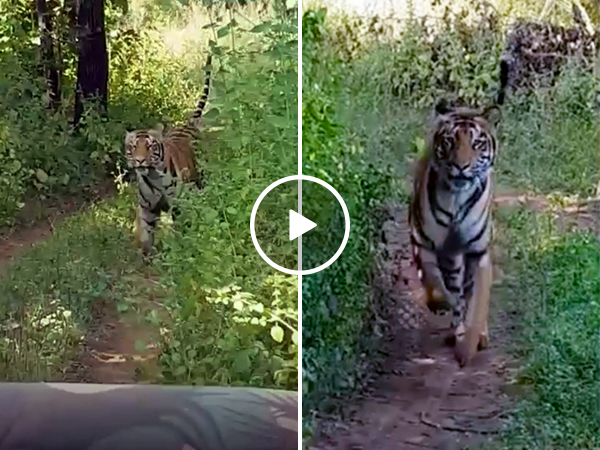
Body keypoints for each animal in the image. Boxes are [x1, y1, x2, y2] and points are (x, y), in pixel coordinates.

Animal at [124, 52, 213, 260]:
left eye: (149, 146)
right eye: (133, 147)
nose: (140, 160)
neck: (151, 178)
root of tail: (184, 127)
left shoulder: (176, 205)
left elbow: (178, 228)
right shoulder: (147, 209)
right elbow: (147, 234)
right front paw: (148, 255)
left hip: (198, 180)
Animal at [408, 58, 506, 368]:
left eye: (477, 144)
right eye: (450, 142)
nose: (461, 166)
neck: (457, 201)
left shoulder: (478, 251)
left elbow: (476, 302)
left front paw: (469, 345)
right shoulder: (424, 242)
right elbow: (435, 282)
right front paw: (441, 303)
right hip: (448, 255)